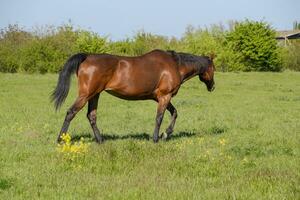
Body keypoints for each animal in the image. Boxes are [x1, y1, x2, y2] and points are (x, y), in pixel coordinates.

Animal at [51, 50, 216, 144]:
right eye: (213, 68)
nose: (213, 87)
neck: (175, 65)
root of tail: (87, 57)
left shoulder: (160, 97)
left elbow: (174, 113)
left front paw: (166, 134)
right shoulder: (165, 96)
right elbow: (159, 118)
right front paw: (156, 138)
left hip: (95, 95)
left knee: (91, 116)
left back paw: (100, 140)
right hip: (86, 95)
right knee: (71, 112)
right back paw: (60, 139)